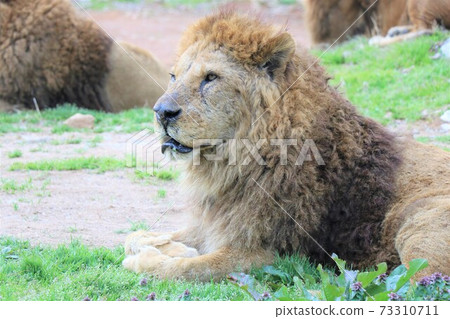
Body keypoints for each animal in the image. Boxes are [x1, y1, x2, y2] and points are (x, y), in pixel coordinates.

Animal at [121, 11, 448, 282]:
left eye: (211, 77)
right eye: (173, 76)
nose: (161, 112)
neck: (232, 164)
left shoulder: (267, 255)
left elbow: (187, 269)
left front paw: (148, 261)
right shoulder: (219, 223)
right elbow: (134, 237)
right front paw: (168, 246)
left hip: (418, 227)